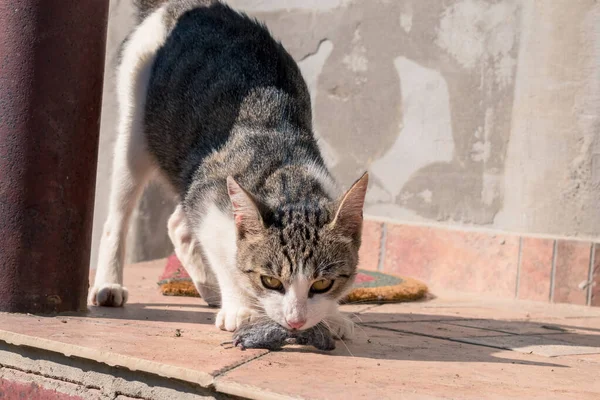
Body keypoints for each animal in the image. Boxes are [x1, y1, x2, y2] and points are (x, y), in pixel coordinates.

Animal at [91, 0, 368, 338]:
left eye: (322, 283)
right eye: (271, 281)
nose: (296, 320)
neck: (289, 177)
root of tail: (177, 6)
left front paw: (333, 315)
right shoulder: (209, 196)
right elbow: (225, 258)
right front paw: (241, 307)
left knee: (177, 223)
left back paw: (207, 287)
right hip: (137, 126)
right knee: (118, 212)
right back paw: (109, 284)